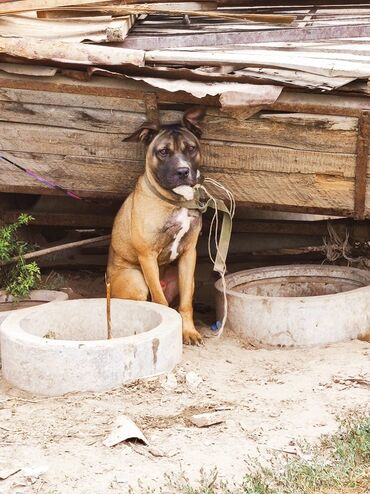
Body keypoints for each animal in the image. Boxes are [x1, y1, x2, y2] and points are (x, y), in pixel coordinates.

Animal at [106, 105, 205, 344]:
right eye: (163, 152)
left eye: (191, 148)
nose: (183, 171)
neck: (176, 200)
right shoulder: (147, 255)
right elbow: (161, 303)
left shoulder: (189, 255)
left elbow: (186, 303)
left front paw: (188, 331)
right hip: (135, 281)